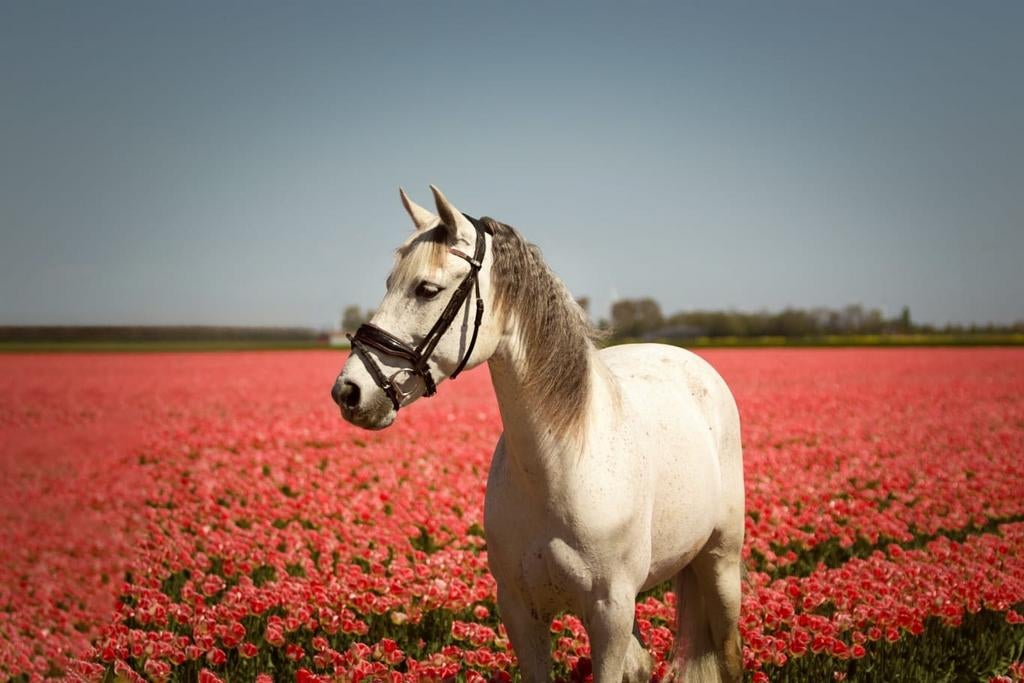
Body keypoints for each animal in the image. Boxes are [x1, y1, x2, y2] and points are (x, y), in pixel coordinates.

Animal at [331, 186, 745, 683]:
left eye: (426, 288)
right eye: (390, 281)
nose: (349, 392)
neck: (557, 467)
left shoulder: (609, 613)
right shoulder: (520, 611)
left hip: (721, 566)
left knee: (729, 654)